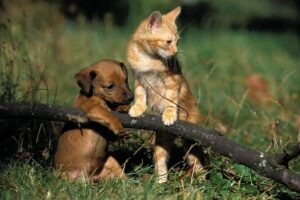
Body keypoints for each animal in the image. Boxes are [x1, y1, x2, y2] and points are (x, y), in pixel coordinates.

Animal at [126, 6, 206, 183]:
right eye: (169, 42)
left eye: (178, 41)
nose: (175, 52)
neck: (148, 58)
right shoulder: (139, 79)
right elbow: (140, 95)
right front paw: (137, 108)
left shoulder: (172, 81)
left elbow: (171, 99)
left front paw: (169, 114)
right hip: (161, 140)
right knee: (161, 160)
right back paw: (161, 182)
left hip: (190, 140)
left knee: (197, 161)